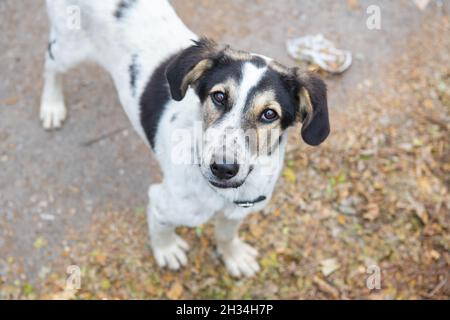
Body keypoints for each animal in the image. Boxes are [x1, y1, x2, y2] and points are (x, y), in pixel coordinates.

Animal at [43, 0, 330, 278]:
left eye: (269, 114)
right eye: (219, 96)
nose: (223, 168)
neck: (222, 194)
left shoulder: (240, 210)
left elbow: (226, 235)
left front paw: (234, 256)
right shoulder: (162, 202)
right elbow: (160, 226)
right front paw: (166, 249)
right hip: (69, 47)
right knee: (50, 61)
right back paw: (51, 106)